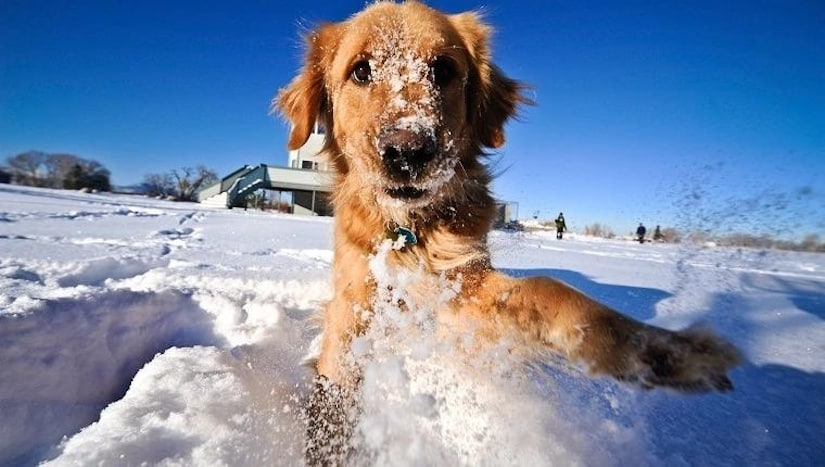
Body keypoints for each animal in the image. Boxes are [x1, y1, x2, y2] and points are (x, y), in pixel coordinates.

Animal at [276, 0, 740, 460]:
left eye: (443, 69)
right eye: (360, 71)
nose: (408, 151)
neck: (410, 232)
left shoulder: (462, 289)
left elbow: (547, 288)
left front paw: (660, 350)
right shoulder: (354, 303)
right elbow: (334, 394)